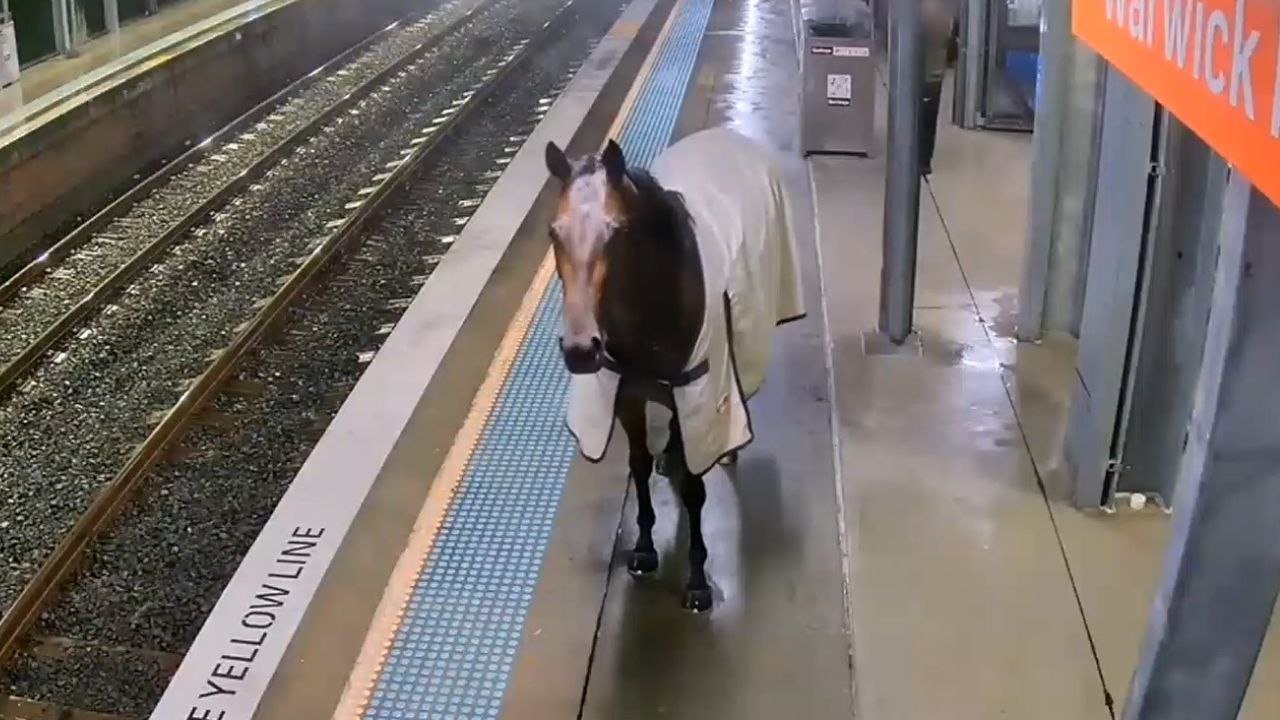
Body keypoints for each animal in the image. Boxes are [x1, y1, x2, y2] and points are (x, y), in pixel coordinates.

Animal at [543, 126, 804, 612]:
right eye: (555, 232)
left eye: (618, 232)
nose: (580, 350)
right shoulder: (626, 395)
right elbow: (639, 464)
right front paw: (645, 547)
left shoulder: (702, 393)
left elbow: (695, 489)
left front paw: (698, 579)